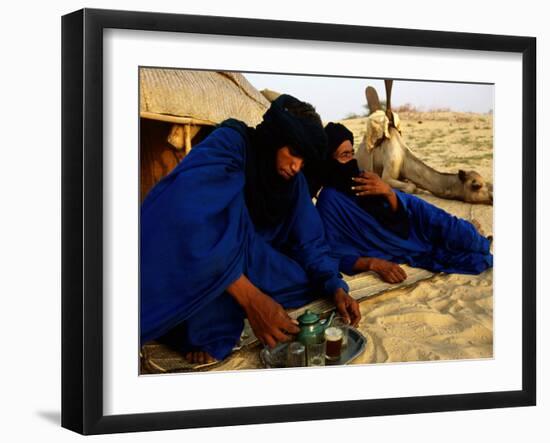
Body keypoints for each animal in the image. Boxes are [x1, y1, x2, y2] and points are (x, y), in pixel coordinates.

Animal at [358, 80, 496, 206]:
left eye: (486, 183)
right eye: (476, 185)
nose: (492, 198)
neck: (404, 159)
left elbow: (411, 184)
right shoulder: (388, 171)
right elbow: (410, 187)